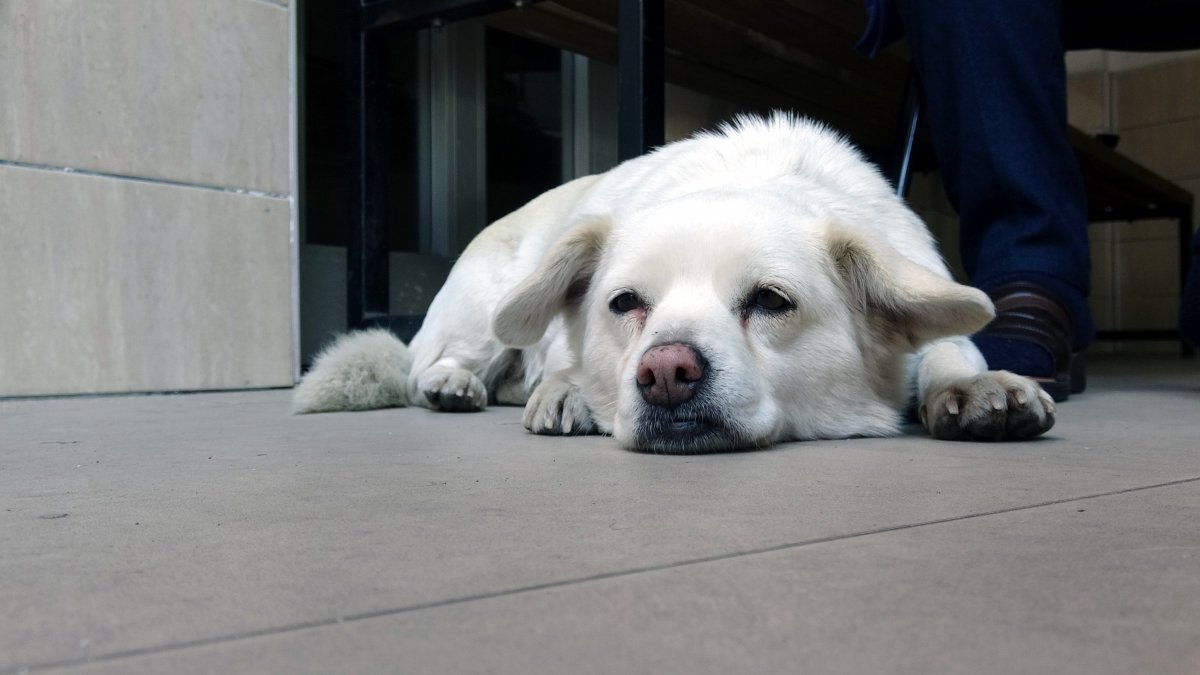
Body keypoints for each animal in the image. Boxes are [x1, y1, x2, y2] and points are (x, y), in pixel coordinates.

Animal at [295, 112, 1056, 451]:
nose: (665, 372)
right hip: (484, 311)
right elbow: (568, 359)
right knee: (433, 363)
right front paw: (570, 389)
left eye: (771, 301)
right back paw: (460, 384)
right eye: (625, 303)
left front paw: (976, 387)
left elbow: (952, 349)